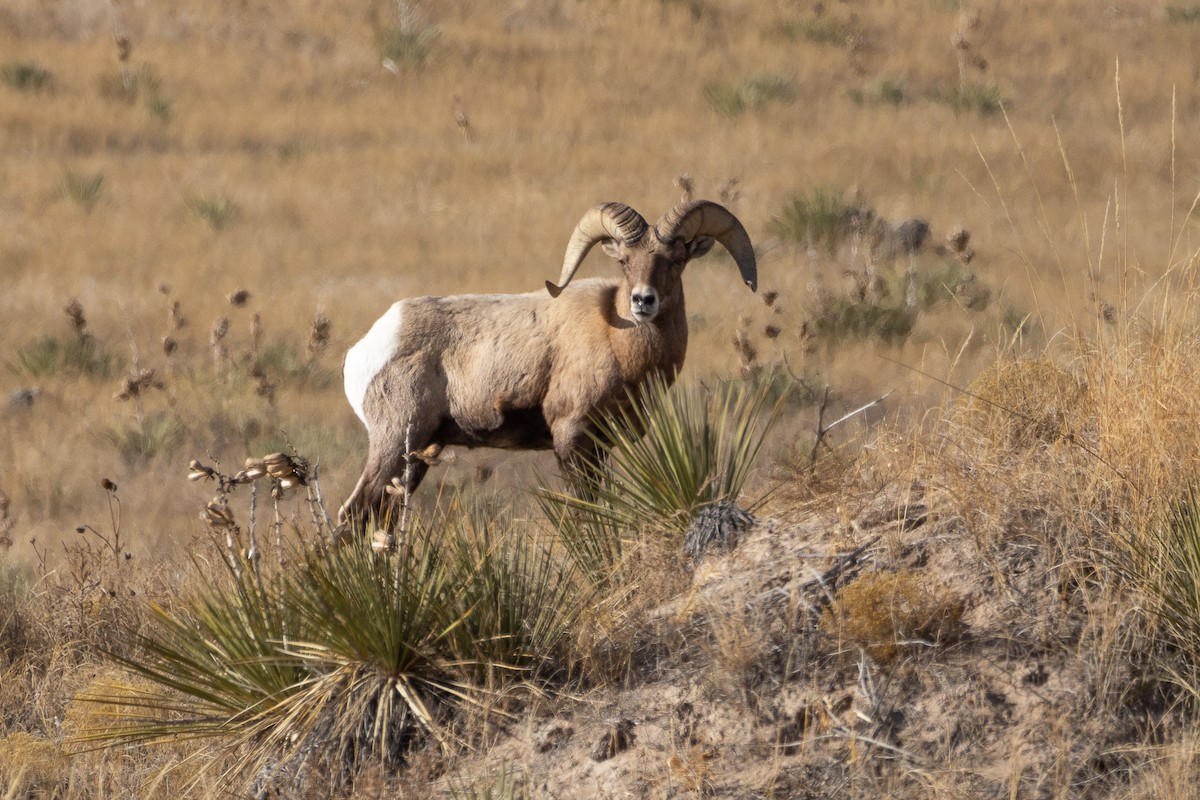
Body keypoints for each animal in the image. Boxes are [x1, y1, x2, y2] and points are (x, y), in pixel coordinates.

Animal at [340, 199, 757, 524]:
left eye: (677, 260)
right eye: (624, 261)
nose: (643, 301)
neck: (617, 341)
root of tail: (365, 349)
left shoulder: (601, 446)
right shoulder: (571, 437)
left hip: (416, 457)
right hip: (395, 443)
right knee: (353, 515)